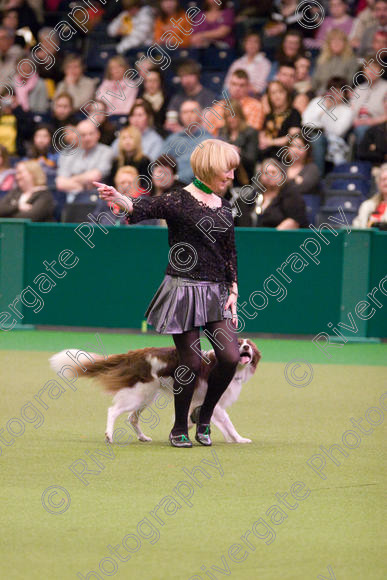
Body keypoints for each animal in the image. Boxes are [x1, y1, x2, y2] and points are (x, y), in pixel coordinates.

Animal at [48, 338, 260, 442]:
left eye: (249, 345)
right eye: (239, 343)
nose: (246, 347)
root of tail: (136, 354)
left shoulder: (199, 402)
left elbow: (193, 417)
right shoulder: (212, 403)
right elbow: (228, 424)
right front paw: (239, 439)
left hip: (146, 397)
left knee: (132, 418)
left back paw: (142, 437)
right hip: (138, 395)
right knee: (113, 411)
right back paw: (109, 435)